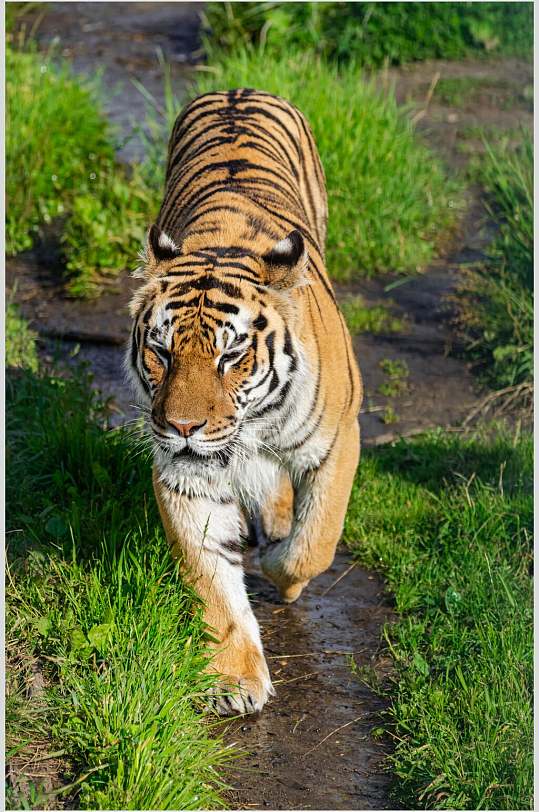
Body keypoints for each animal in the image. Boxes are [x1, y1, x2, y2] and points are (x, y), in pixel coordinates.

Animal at [126, 89, 362, 715]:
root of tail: (240, 89)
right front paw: (233, 679)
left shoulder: (339, 440)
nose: (182, 426)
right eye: (161, 350)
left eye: (230, 356)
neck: (250, 427)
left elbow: (315, 542)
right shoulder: (186, 475)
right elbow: (210, 579)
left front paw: (283, 571)